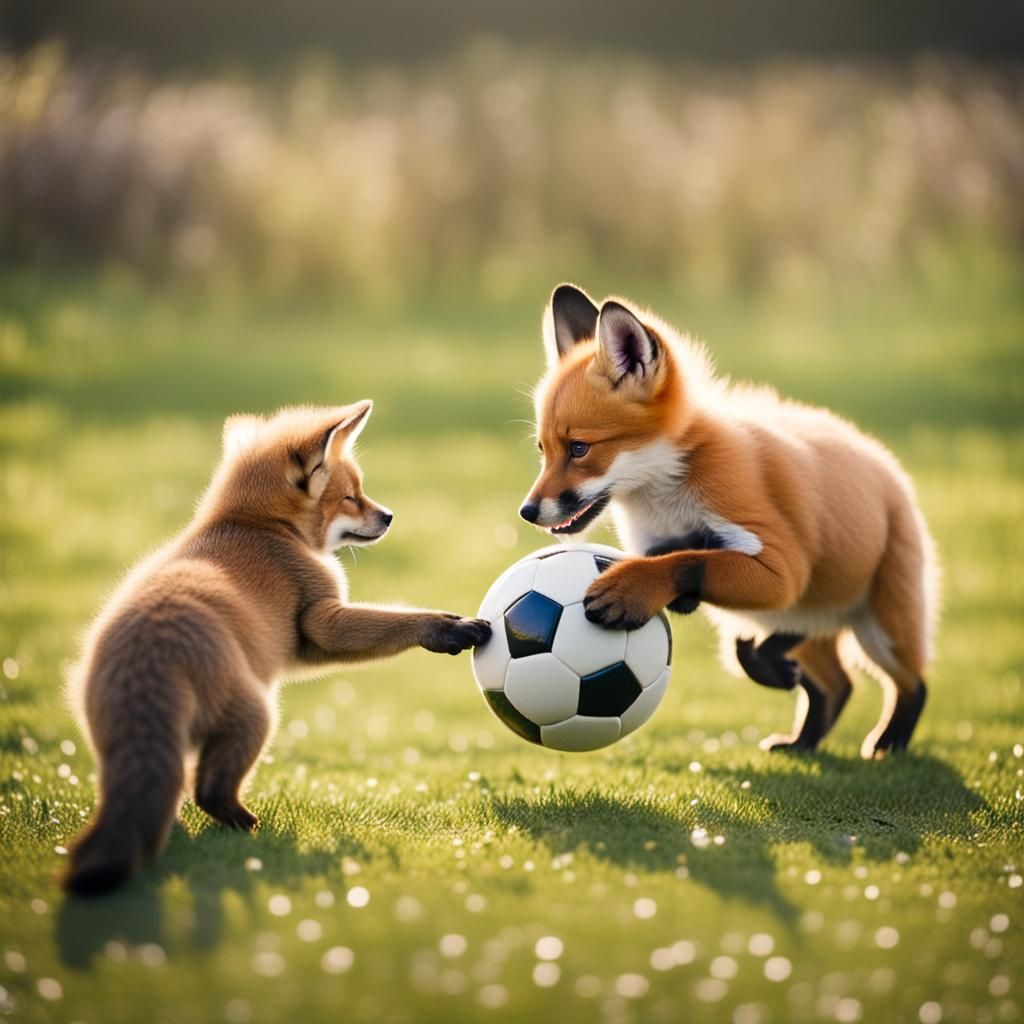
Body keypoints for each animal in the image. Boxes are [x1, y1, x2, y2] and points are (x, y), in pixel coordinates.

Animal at [64, 402, 491, 896]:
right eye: (351, 497)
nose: (388, 516)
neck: (261, 526)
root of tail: (148, 653)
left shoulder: (307, 645)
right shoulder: (321, 622)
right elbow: (395, 622)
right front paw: (448, 628)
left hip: (128, 747)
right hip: (257, 716)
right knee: (208, 790)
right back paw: (251, 829)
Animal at [520, 284, 939, 759]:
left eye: (579, 449)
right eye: (543, 449)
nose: (528, 512)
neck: (667, 498)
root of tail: (881, 458)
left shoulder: (780, 564)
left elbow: (689, 560)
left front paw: (631, 587)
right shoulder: (661, 545)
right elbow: (682, 561)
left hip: (879, 630)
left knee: (911, 683)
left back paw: (889, 743)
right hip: (793, 619)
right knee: (834, 684)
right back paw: (800, 739)